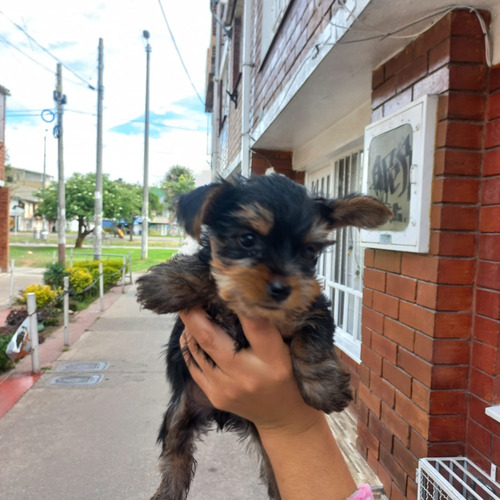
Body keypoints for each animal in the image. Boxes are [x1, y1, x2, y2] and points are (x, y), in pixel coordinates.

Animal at [136, 174, 390, 498]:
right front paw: (166, 285)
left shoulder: (312, 306)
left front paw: (325, 386)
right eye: (247, 239)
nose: (282, 288)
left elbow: (313, 339)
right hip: (179, 410)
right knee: (175, 453)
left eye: (309, 252)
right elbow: (207, 267)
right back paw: (167, 491)